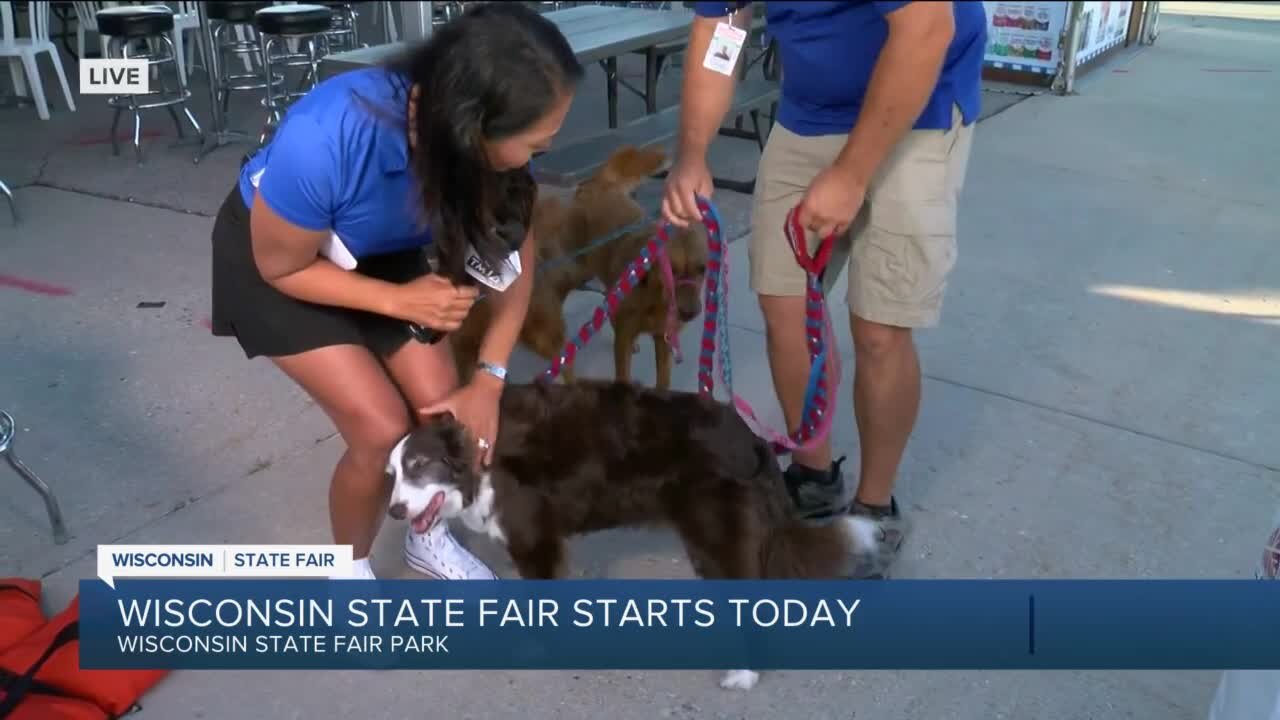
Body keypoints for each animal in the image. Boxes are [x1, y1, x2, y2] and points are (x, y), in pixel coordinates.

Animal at [384, 379, 875, 686]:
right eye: (392, 474)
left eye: (419, 466)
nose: (393, 510)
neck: (479, 457)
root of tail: (751, 439)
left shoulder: (534, 540)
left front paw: (538, 647)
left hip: (715, 533)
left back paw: (744, 674)